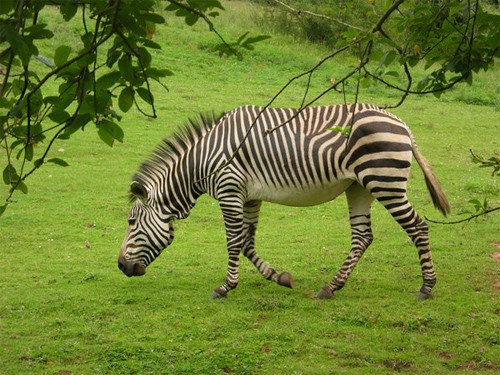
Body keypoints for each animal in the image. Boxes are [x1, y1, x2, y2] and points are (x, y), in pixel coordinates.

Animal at [119, 104, 452, 302]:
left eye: (131, 221)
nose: (121, 266)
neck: (203, 161)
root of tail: (402, 123)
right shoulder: (249, 195)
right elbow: (246, 242)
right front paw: (280, 277)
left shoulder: (229, 189)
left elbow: (233, 242)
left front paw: (225, 287)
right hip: (359, 187)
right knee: (362, 237)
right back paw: (331, 287)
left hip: (385, 181)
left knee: (418, 227)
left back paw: (427, 287)